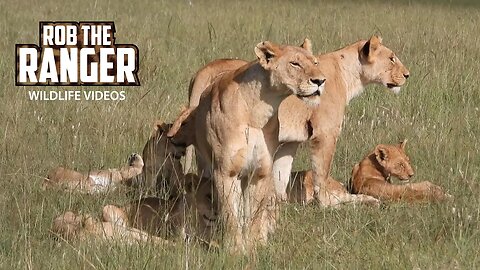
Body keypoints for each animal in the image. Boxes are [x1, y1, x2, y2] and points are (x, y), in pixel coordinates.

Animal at [167, 39, 324, 253]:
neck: (257, 112)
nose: (320, 81)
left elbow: (255, 214)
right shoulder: (225, 172)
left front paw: (255, 247)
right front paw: (235, 250)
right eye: (295, 64)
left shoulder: (259, 173)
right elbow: (231, 215)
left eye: (315, 62)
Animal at [178, 35, 410, 207]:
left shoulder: (290, 141)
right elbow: (321, 172)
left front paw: (279, 205)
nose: (408, 75)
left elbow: (281, 173)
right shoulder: (325, 133)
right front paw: (325, 204)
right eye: (392, 58)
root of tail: (203, 71)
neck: (349, 75)